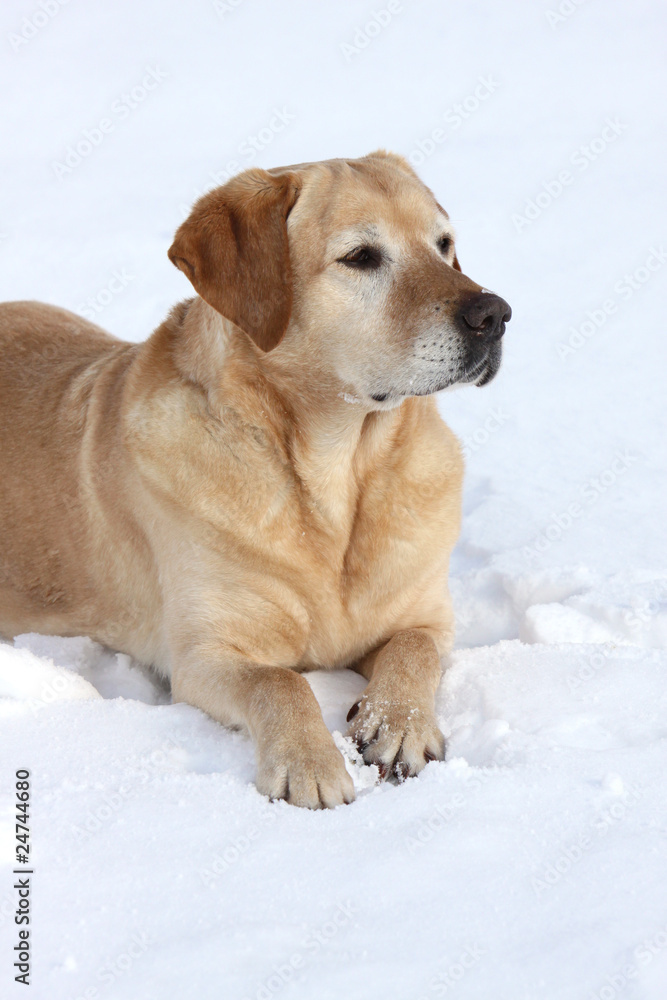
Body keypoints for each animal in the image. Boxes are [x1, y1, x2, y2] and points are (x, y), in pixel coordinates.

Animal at [0, 152, 512, 808]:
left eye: (444, 245)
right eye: (361, 257)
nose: (495, 314)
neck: (336, 475)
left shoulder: (426, 616)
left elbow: (413, 648)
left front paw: (398, 723)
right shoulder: (206, 654)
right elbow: (279, 683)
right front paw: (310, 764)